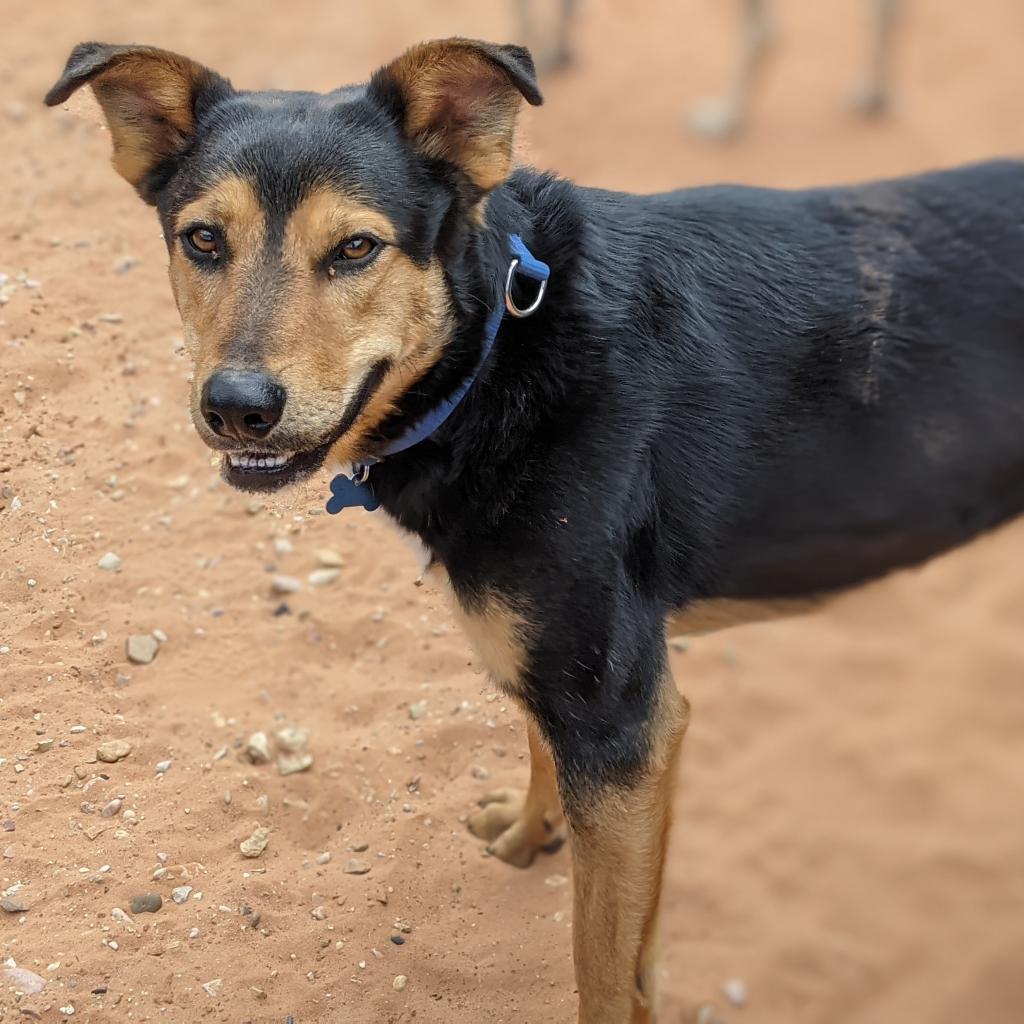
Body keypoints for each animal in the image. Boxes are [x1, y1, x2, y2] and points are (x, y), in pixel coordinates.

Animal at [46, 36, 1024, 1019]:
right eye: (203, 240)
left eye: (357, 248)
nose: (237, 409)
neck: (498, 357)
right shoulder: (561, 681)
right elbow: (541, 757)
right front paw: (529, 832)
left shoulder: (620, 721)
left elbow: (605, 961)